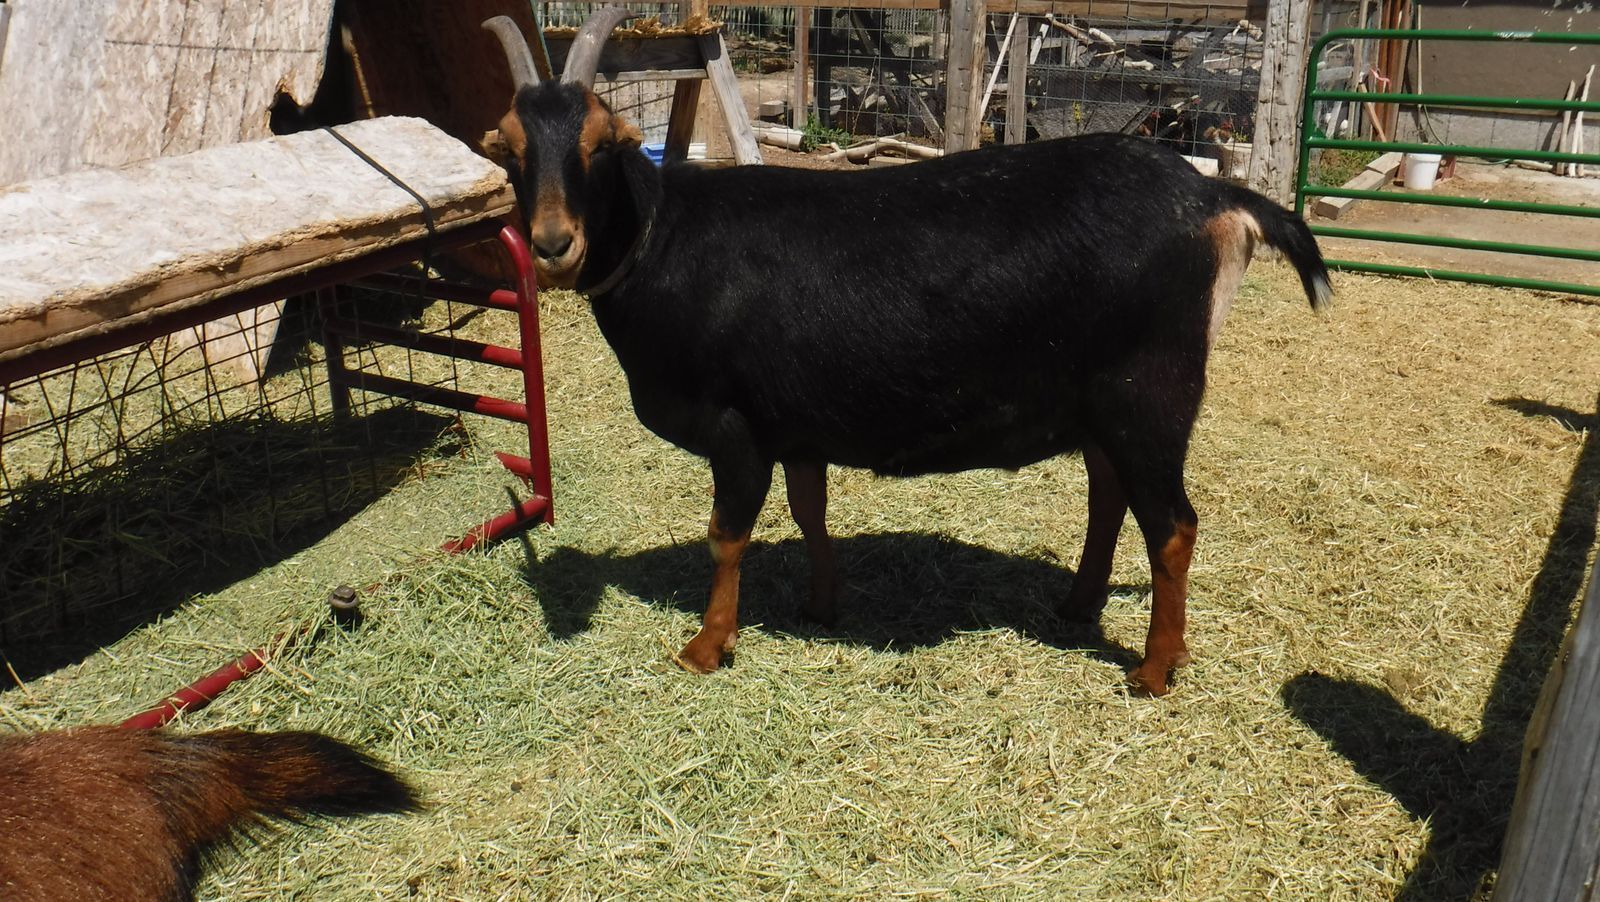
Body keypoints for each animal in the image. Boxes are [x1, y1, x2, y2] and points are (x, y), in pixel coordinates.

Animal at [483, 8, 1331, 695]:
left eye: (601, 143)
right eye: (510, 148)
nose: (553, 245)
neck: (665, 237)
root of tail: (1218, 199)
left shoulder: (736, 426)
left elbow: (727, 536)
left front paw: (706, 647)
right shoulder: (796, 424)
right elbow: (811, 512)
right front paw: (821, 606)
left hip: (1150, 392)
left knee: (1173, 525)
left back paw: (1154, 669)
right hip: (1101, 403)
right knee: (1109, 495)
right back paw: (1079, 604)